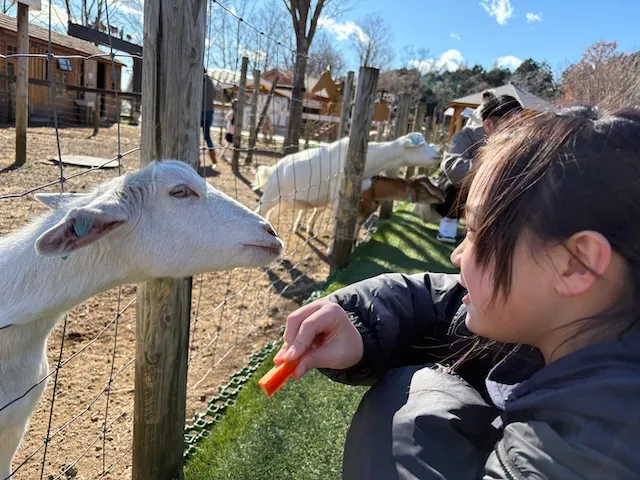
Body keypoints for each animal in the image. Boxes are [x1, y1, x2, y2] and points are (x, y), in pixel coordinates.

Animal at [252, 132, 442, 235]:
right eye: (420, 146)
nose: (438, 156)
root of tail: (273, 168)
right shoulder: (338, 193)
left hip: (285, 201)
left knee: (272, 215)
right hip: (271, 195)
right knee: (260, 211)